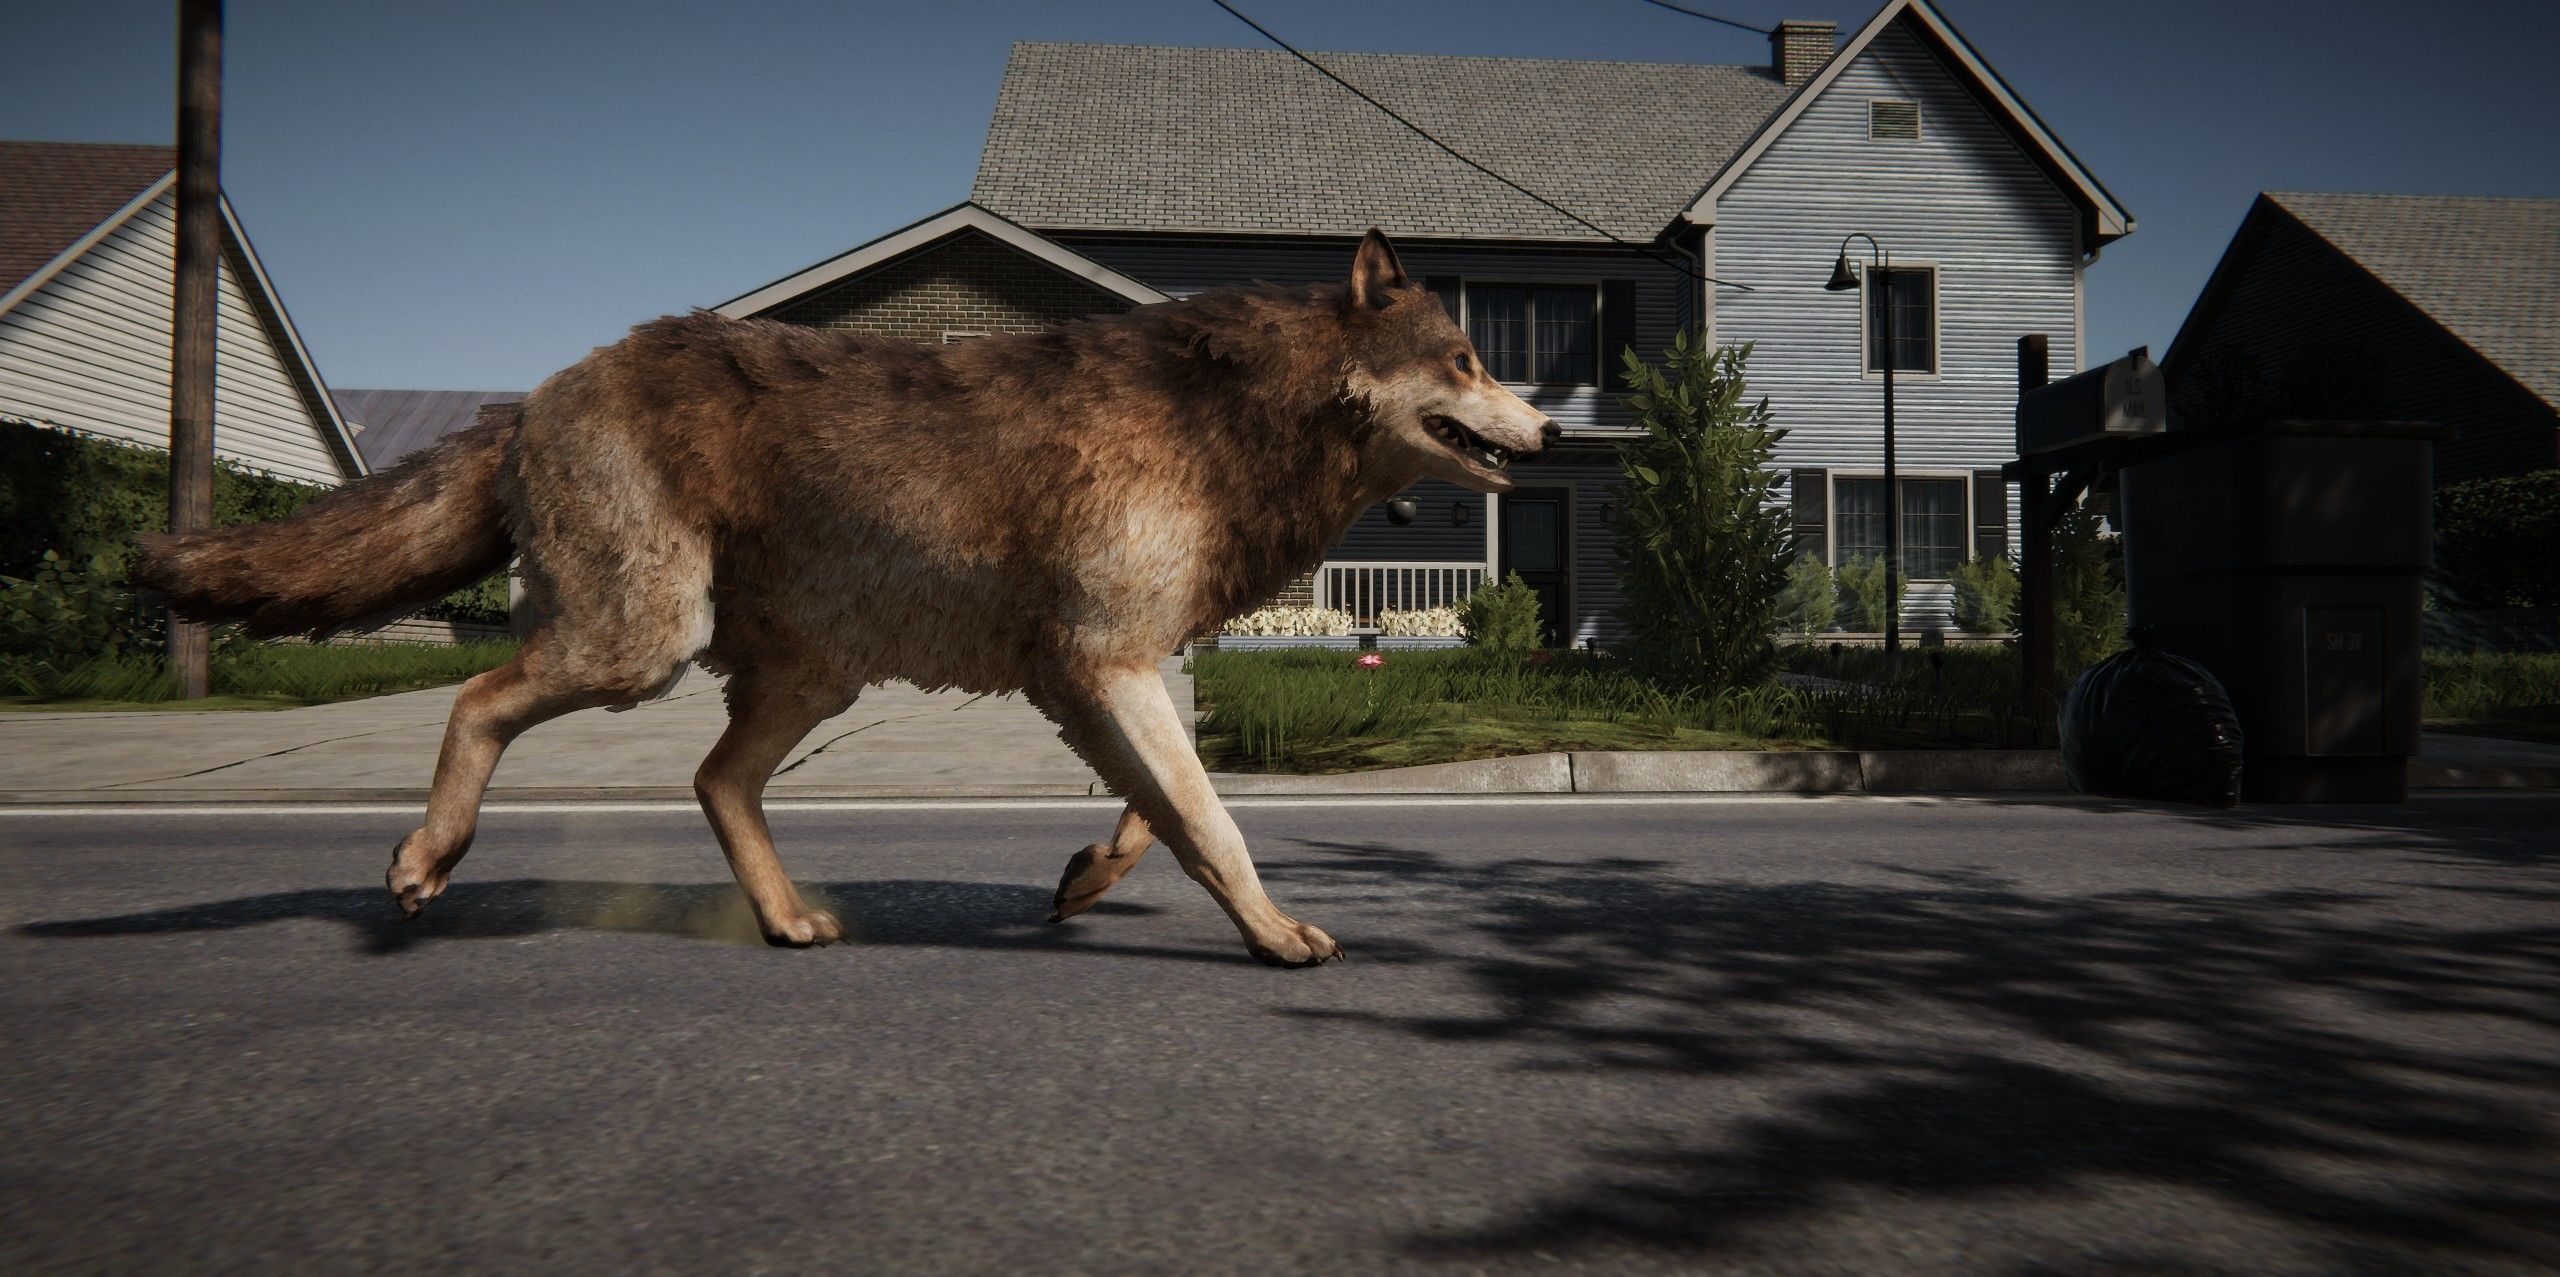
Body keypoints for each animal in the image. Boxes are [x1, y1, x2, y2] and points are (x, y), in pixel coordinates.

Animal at [133, 230, 1556, 966]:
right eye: (1466, 361)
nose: (1547, 430)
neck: (1229, 422)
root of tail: (534, 390)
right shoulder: (1105, 664)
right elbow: (1215, 821)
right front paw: (1271, 933)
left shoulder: (1096, 674)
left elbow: (1162, 813)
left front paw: (1085, 881)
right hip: (643, 646)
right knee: (481, 697)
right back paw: (425, 861)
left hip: (809, 677)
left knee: (715, 780)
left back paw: (783, 917)